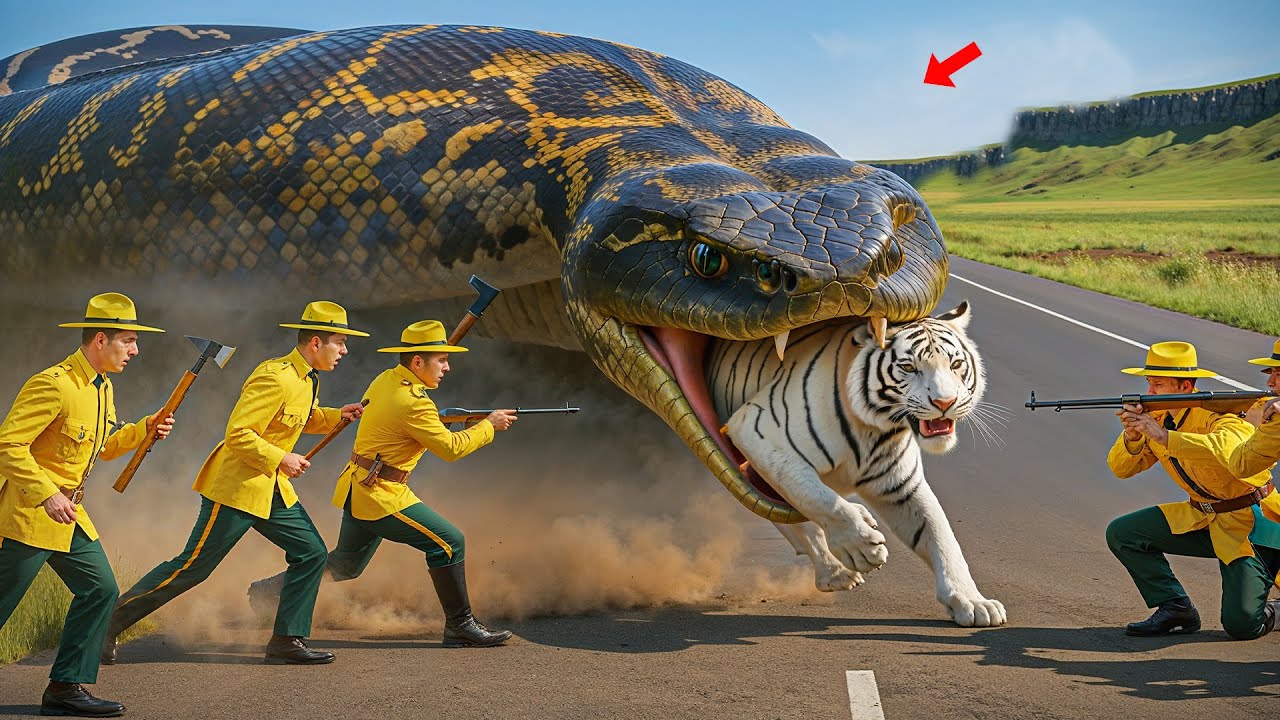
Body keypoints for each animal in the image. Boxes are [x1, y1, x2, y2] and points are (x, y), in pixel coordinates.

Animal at [707, 301, 1008, 627]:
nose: (945, 403)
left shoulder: (902, 487)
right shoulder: (758, 430)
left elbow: (942, 537)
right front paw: (862, 547)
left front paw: (972, 602)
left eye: (955, 365)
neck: (877, 428)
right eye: (908, 367)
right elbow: (820, 499)